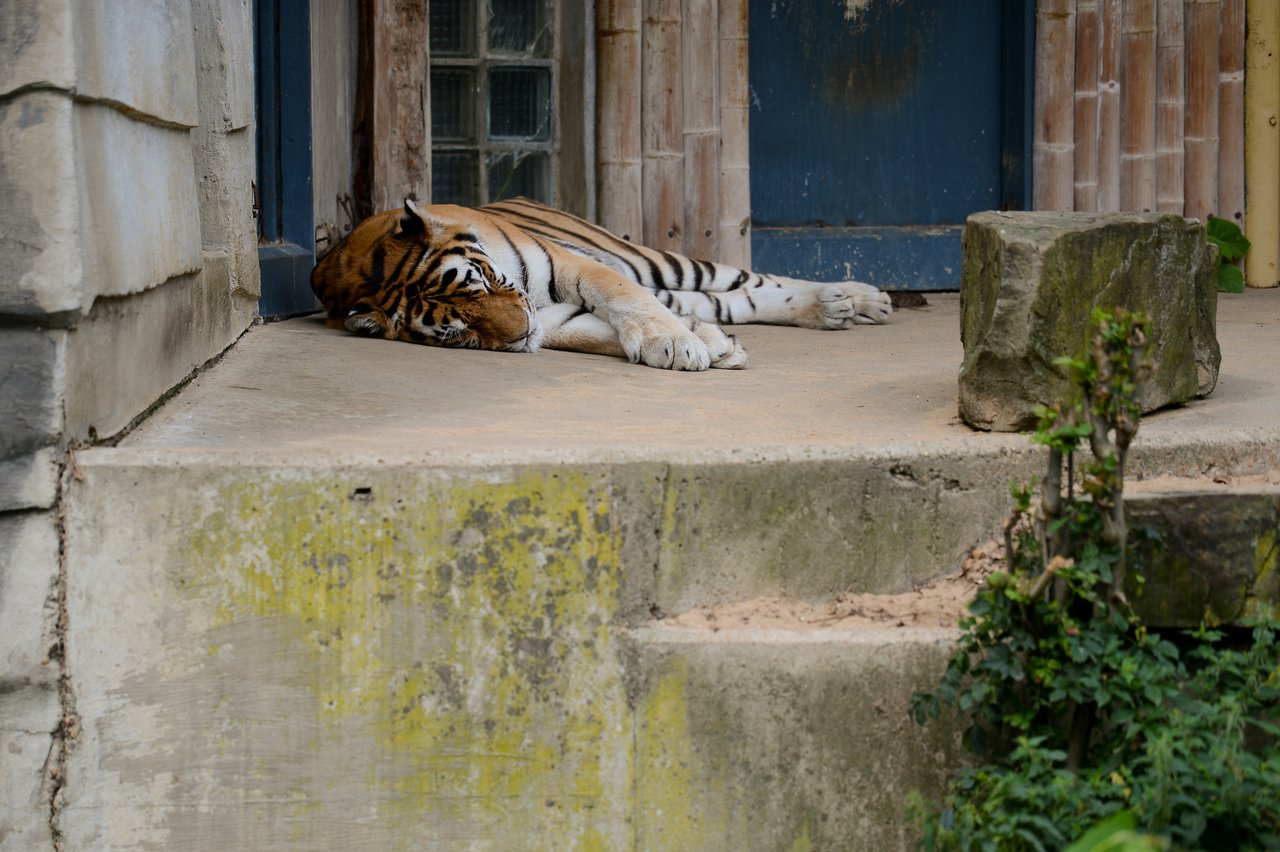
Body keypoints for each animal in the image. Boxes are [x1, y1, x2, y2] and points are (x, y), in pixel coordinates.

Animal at [310, 197, 893, 371]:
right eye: (455, 331)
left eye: (483, 283)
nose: (521, 334)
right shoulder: (548, 318)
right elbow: (597, 331)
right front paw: (708, 345)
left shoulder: (573, 268)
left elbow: (622, 298)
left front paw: (674, 343)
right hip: (678, 285)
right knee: (730, 301)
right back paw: (833, 307)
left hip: (652, 261)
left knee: (748, 278)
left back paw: (862, 298)